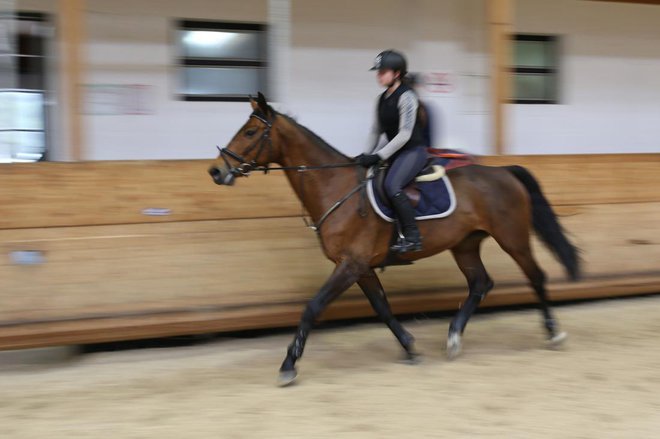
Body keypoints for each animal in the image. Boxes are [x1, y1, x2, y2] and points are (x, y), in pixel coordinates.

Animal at [209, 92, 580, 384]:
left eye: (251, 131)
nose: (216, 170)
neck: (335, 188)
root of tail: (504, 171)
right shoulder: (360, 267)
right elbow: (382, 307)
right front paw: (410, 347)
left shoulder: (350, 264)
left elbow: (312, 308)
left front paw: (288, 365)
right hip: (465, 244)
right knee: (480, 283)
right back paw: (453, 338)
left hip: (511, 237)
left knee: (536, 276)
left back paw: (553, 332)